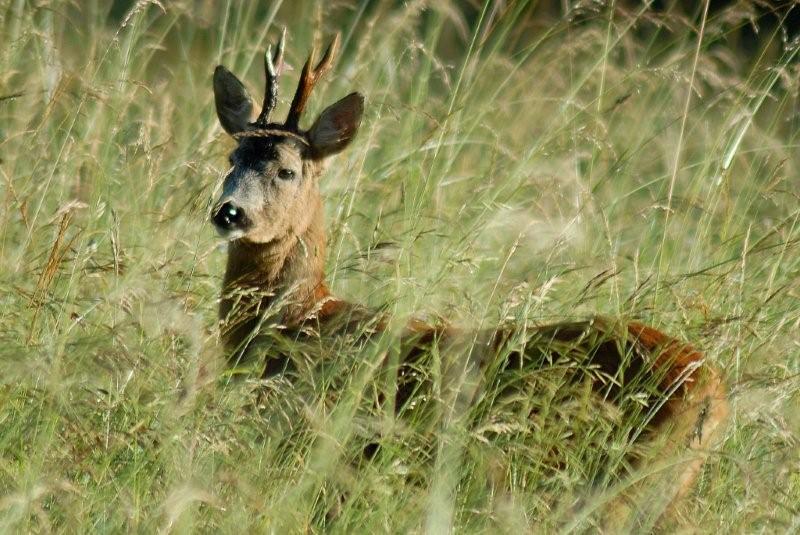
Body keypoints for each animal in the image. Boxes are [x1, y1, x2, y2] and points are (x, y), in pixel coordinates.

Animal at [209, 30, 728, 524]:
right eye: (232, 160)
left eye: (287, 170)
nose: (228, 212)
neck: (301, 319)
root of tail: (712, 390)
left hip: (616, 480)